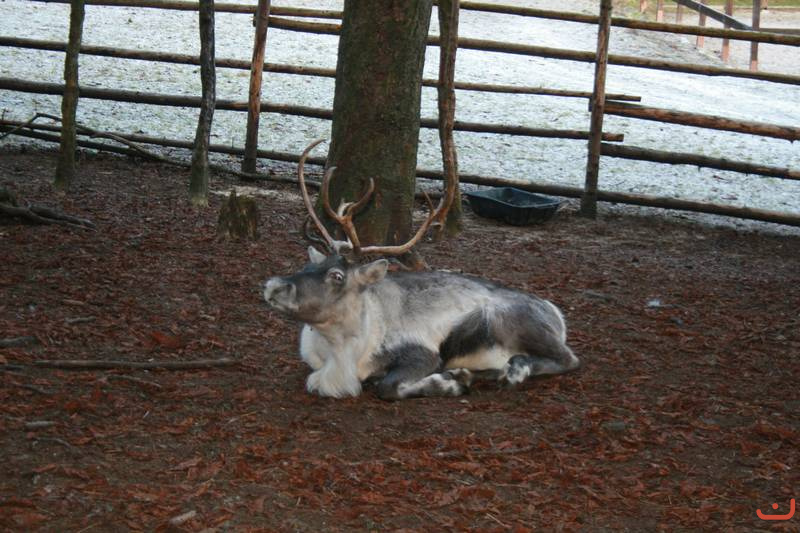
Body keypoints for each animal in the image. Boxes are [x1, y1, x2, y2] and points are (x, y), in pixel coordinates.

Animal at [263, 139, 580, 400]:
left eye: (337, 276)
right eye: (308, 264)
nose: (273, 286)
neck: (343, 355)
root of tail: (555, 311)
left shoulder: (424, 354)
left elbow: (387, 387)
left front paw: (453, 381)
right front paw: (459, 376)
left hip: (513, 321)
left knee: (569, 359)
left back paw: (513, 370)